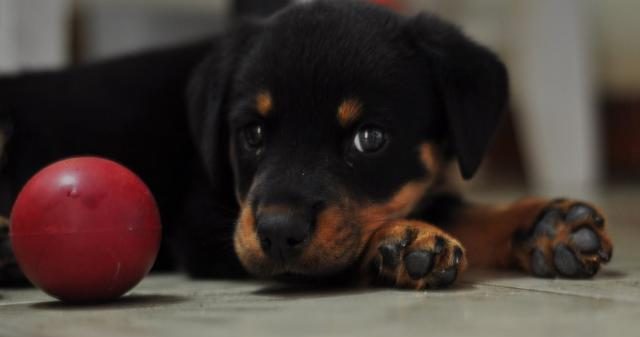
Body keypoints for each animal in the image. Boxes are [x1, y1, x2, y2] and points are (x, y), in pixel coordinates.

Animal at [0, 0, 608, 288]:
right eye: (252, 133)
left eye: (369, 139)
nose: (277, 231)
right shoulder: (206, 225)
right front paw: (404, 240)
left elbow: (460, 208)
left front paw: (546, 224)